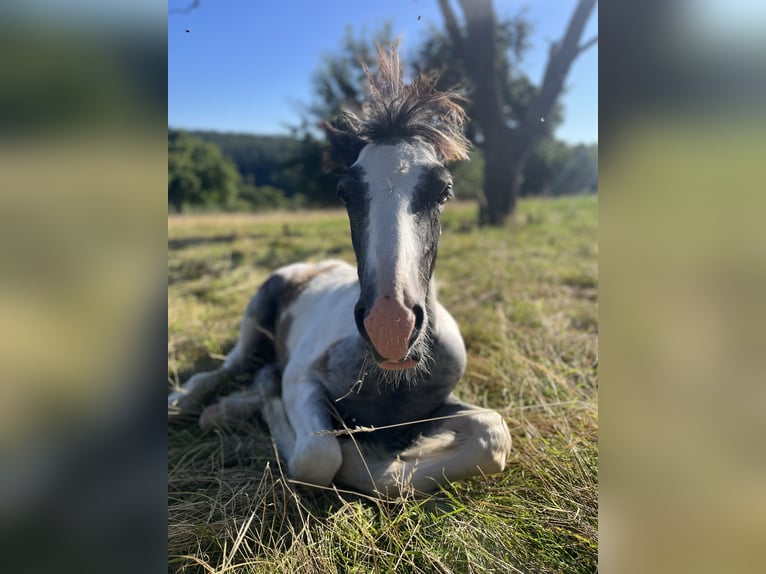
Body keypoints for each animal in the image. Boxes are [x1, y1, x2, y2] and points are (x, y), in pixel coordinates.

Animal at [171, 48, 512, 500]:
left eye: (444, 190)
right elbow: (317, 457)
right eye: (344, 192)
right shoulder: (301, 379)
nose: (391, 328)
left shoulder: (436, 406)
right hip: (253, 320)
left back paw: (227, 408)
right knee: (224, 369)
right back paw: (190, 402)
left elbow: (492, 436)